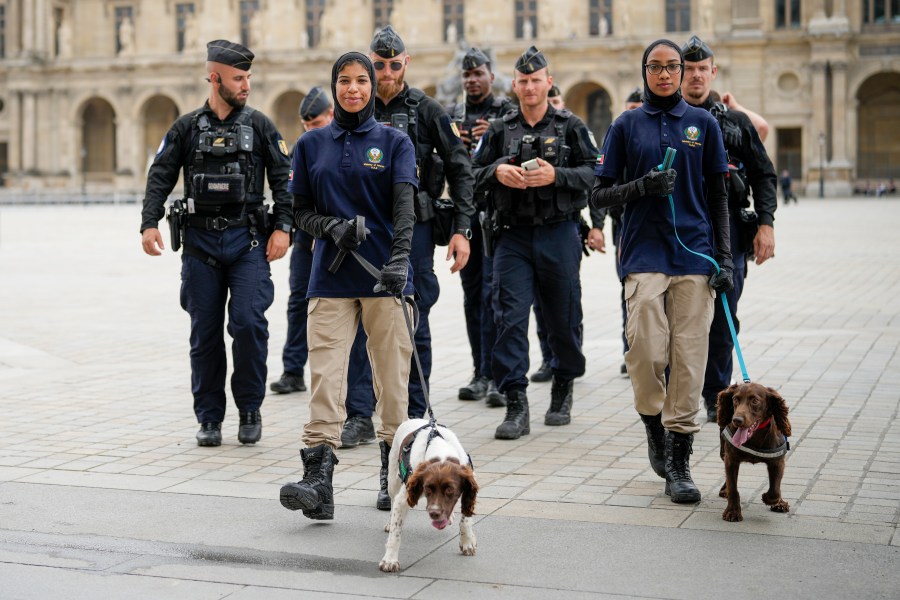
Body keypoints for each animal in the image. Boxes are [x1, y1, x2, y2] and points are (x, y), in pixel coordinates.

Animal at [378, 418, 478, 572]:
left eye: (450, 490)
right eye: (427, 488)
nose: (435, 513)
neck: (441, 452)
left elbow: (465, 520)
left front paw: (467, 542)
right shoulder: (403, 499)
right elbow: (395, 532)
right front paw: (390, 560)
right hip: (393, 481)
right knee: (392, 501)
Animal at [716, 384, 788, 520]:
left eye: (755, 401)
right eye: (735, 399)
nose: (736, 420)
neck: (755, 437)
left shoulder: (777, 462)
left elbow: (775, 490)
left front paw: (769, 499)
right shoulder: (731, 459)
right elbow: (733, 487)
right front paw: (732, 511)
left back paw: (780, 503)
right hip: (723, 452)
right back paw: (724, 490)